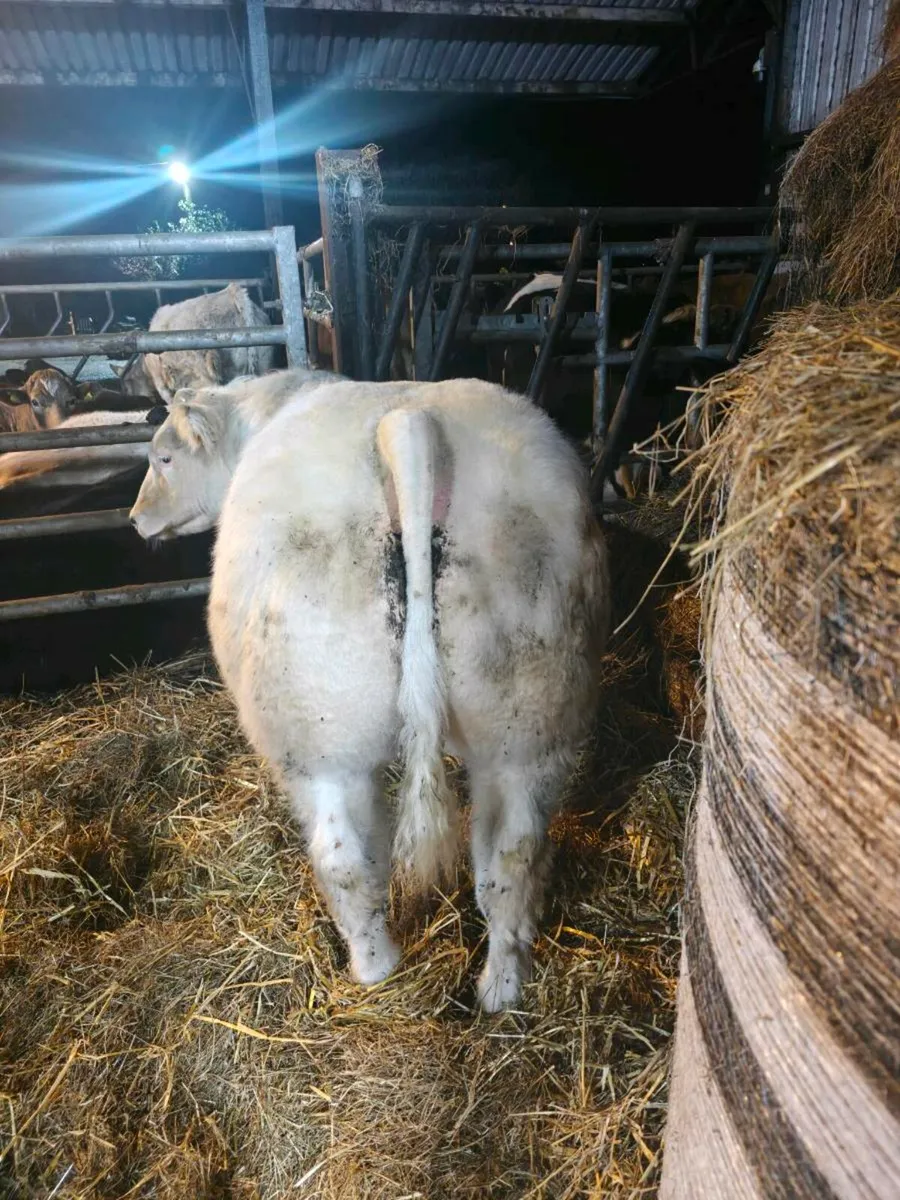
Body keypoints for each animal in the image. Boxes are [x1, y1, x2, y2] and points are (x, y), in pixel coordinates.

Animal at [129, 370, 609, 1010]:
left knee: (345, 859)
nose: (135, 520)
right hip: (527, 713)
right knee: (512, 857)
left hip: (319, 737)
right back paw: (501, 987)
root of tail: (407, 423)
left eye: (164, 457)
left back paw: (374, 965)